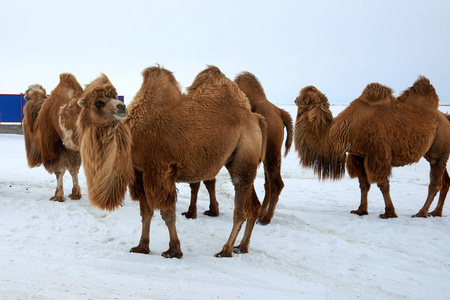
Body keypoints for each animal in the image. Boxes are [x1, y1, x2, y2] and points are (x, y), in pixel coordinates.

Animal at [22, 73, 114, 203]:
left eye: (26, 95)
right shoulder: (72, 149)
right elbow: (73, 170)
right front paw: (75, 194)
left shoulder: (54, 147)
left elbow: (59, 171)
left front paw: (58, 196)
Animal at [181, 71, 294, 225]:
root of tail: (280, 112)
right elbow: (208, 181)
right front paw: (212, 211)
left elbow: (197, 183)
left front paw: (191, 213)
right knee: (268, 183)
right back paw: (260, 214)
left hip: (272, 151)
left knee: (276, 183)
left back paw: (265, 218)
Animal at [294, 76, 450, 218]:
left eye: (303, 97)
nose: (295, 99)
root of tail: (445, 118)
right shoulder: (358, 155)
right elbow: (364, 184)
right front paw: (361, 210)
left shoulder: (377, 154)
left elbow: (382, 184)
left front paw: (389, 213)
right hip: (436, 152)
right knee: (445, 181)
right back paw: (436, 212)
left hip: (439, 148)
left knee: (435, 183)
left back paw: (422, 213)